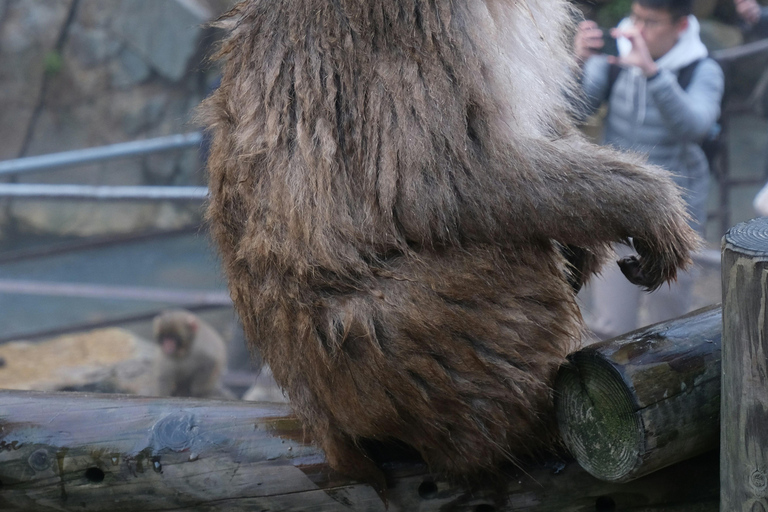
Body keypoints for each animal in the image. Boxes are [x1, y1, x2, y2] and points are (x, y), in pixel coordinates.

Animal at [200, 0, 699, 486]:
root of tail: (327, 425)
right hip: (401, 353)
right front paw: (646, 203)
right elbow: (442, 181)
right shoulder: (406, 18)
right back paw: (535, 435)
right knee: (503, 256)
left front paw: (590, 246)